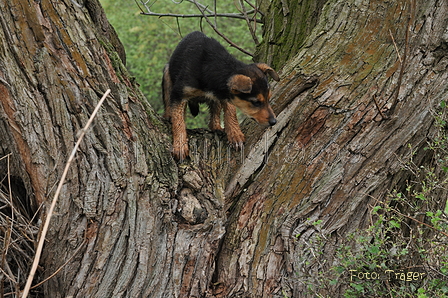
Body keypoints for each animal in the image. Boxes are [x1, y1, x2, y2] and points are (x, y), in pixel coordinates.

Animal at [161, 31, 280, 161]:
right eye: (256, 102)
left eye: (268, 99)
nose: (274, 122)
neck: (211, 67)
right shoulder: (179, 93)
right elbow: (179, 120)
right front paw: (180, 146)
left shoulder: (225, 95)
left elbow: (231, 111)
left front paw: (235, 134)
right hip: (167, 75)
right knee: (171, 106)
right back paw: (168, 116)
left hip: (215, 99)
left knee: (214, 116)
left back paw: (217, 127)